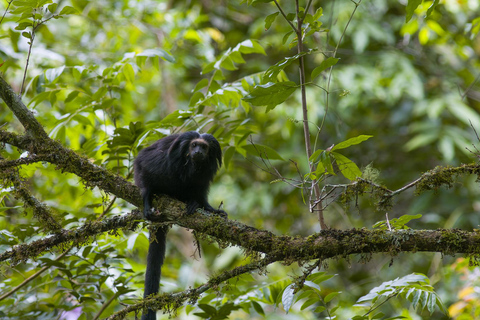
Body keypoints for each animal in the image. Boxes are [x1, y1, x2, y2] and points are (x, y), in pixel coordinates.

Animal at [134, 131, 226, 320]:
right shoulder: (165, 160)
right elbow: (145, 162)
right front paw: (147, 197)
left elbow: (200, 190)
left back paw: (192, 204)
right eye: (194, 145)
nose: (198, 152)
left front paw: (209, 208)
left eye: (204, 147)